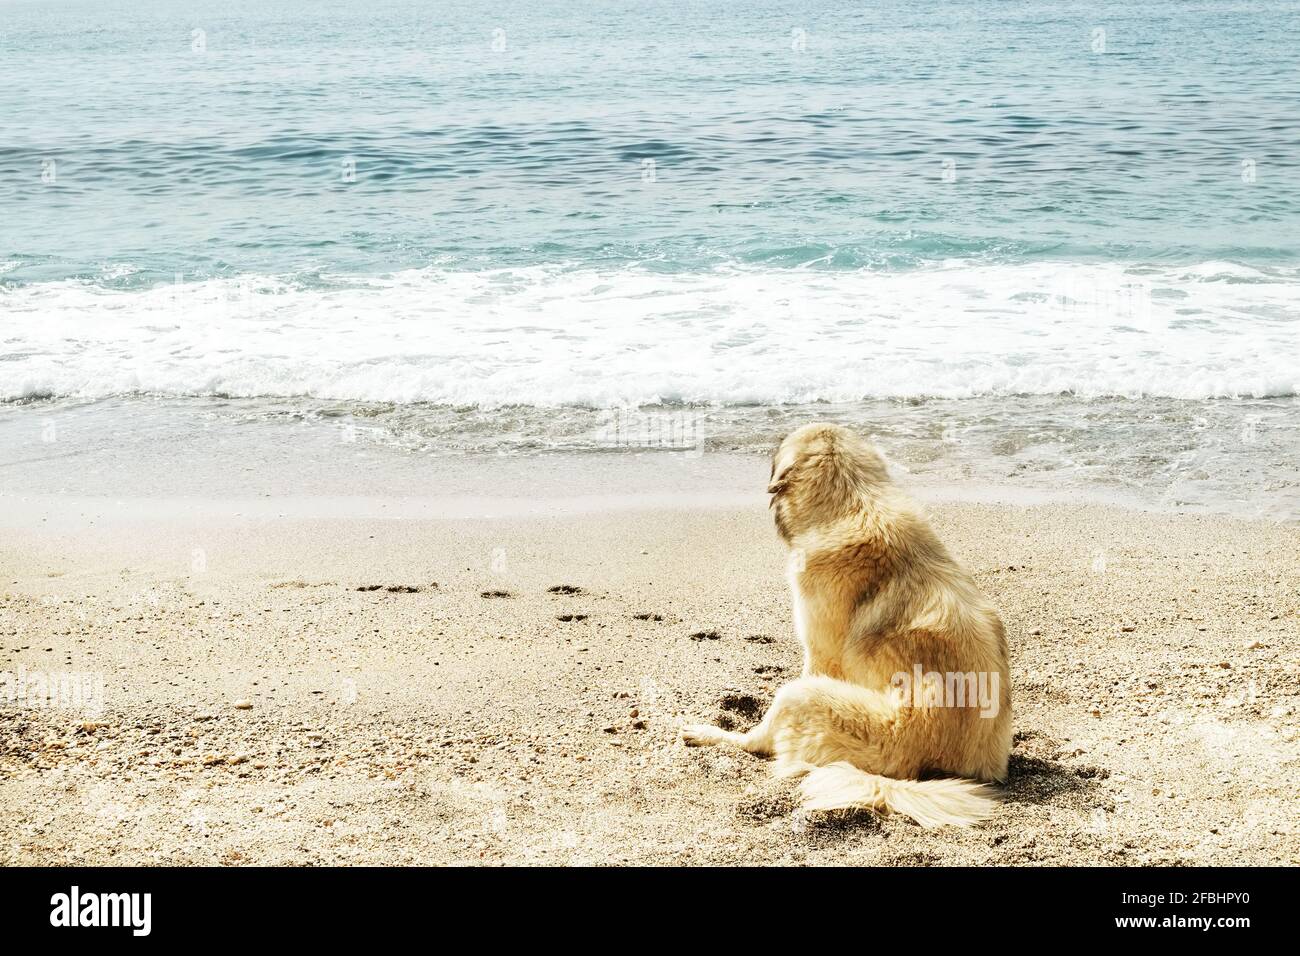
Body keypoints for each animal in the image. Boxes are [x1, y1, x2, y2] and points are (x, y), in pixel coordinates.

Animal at [686, 421, 1008, 827]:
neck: (857, 502)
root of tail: (920, 771)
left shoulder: (820, 655)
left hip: (802, 695)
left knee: (756, 740)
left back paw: (708, 734)